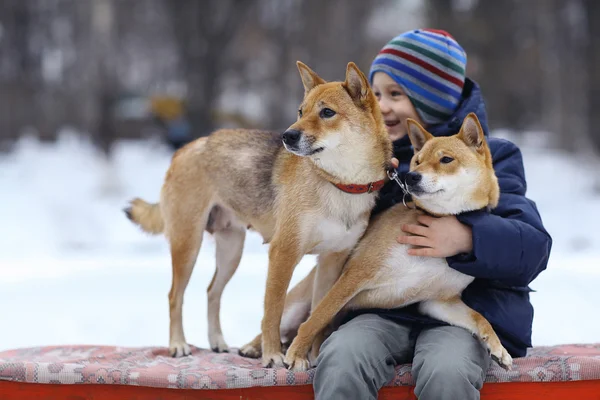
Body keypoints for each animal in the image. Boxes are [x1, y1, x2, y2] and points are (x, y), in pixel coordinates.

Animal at [124, 61, 392, 366]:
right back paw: (178, 344)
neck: (340, 185)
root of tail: (186, 147)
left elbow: (319, 315)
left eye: (327, 112)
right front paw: (274, 355)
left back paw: (217, 342)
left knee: (212, 291)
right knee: (174, 296)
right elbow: (272, 312)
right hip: (188, 245)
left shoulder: (331, 261)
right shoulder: (283, 253)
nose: (288, 136)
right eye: (301, 111)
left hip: (231, 251)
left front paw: (309, 357)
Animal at [284, 113, 512, 372]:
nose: (411, 177)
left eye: (446, 159)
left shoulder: (438, 301)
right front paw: (296, 352)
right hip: (293, 309)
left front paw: (497, 347)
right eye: (417, 162)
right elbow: (319, 316)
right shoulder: (356, 275)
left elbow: (480, 318)